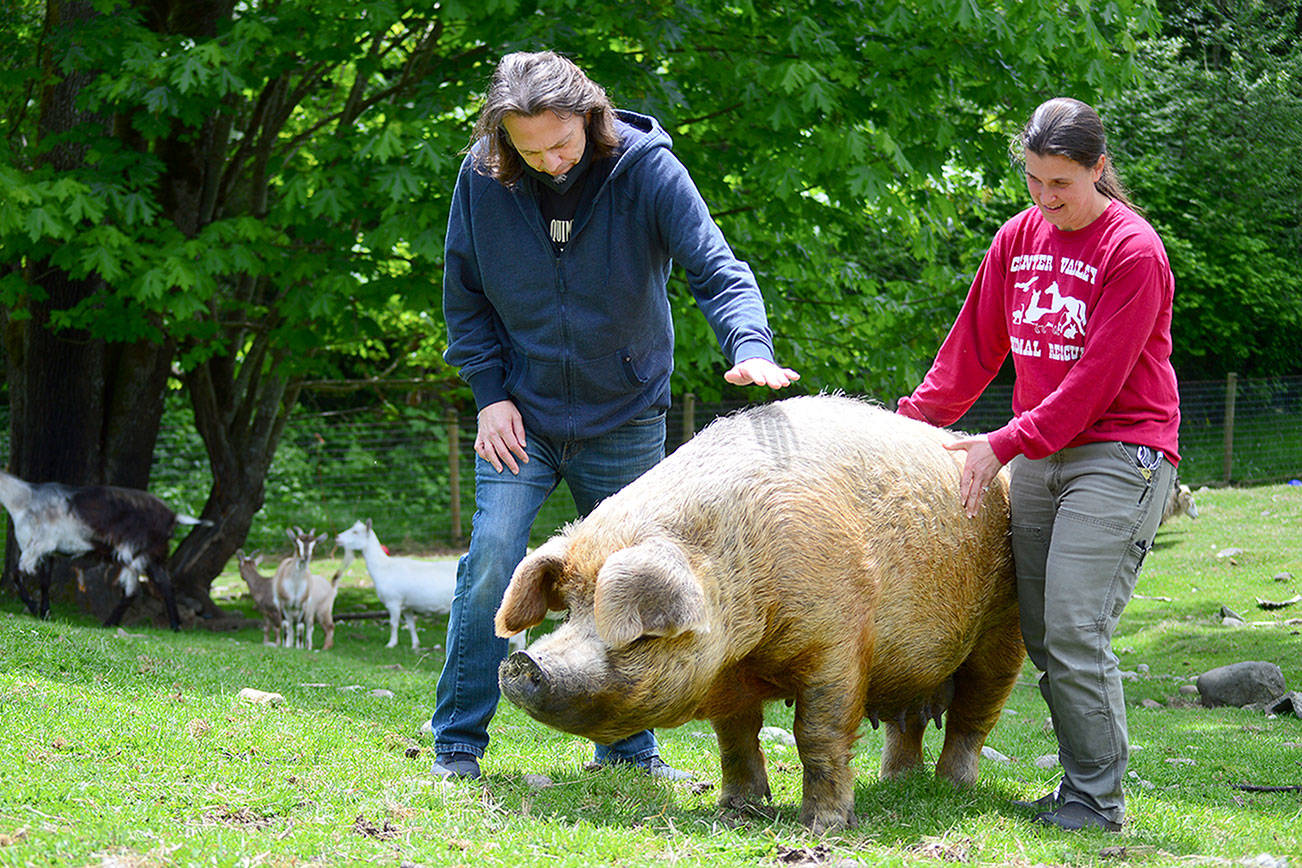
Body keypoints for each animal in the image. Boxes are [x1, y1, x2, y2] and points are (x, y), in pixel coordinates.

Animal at [494, 394, 1025, 832]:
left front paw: (825, 827)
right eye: (569, 608)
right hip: (909, 666)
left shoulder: (840, 643)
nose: (524, 660)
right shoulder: (725, 676)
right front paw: (737, 809)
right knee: (907, 720)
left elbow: (817, 733)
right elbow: (734, 737)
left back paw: (952, 787)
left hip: (1004, 628)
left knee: (974, 715)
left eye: (637, 635)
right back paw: (898, 783)